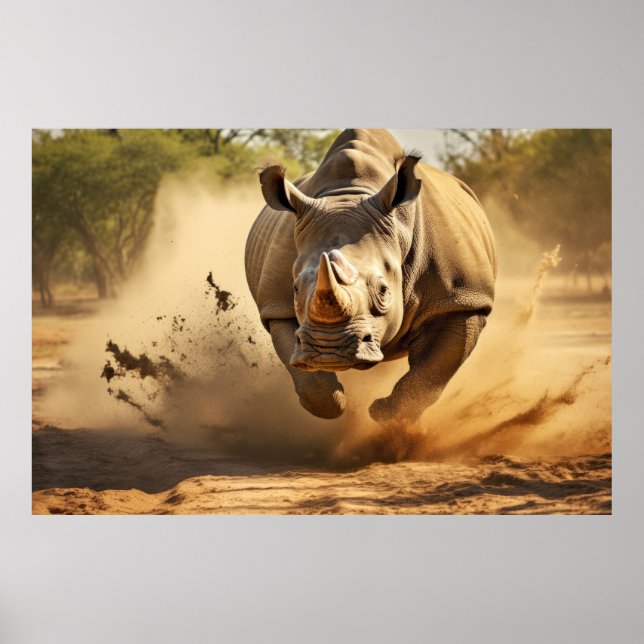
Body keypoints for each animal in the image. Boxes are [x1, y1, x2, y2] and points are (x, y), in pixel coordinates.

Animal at [245, 129, 497, 424]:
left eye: (384, 291)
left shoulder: (462, 301)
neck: (348, 194)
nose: (328, 349)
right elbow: (310, 383)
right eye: (295, 290)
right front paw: (339, 402)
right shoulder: (278, 308)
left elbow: (433, 373)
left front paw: (382, 413)